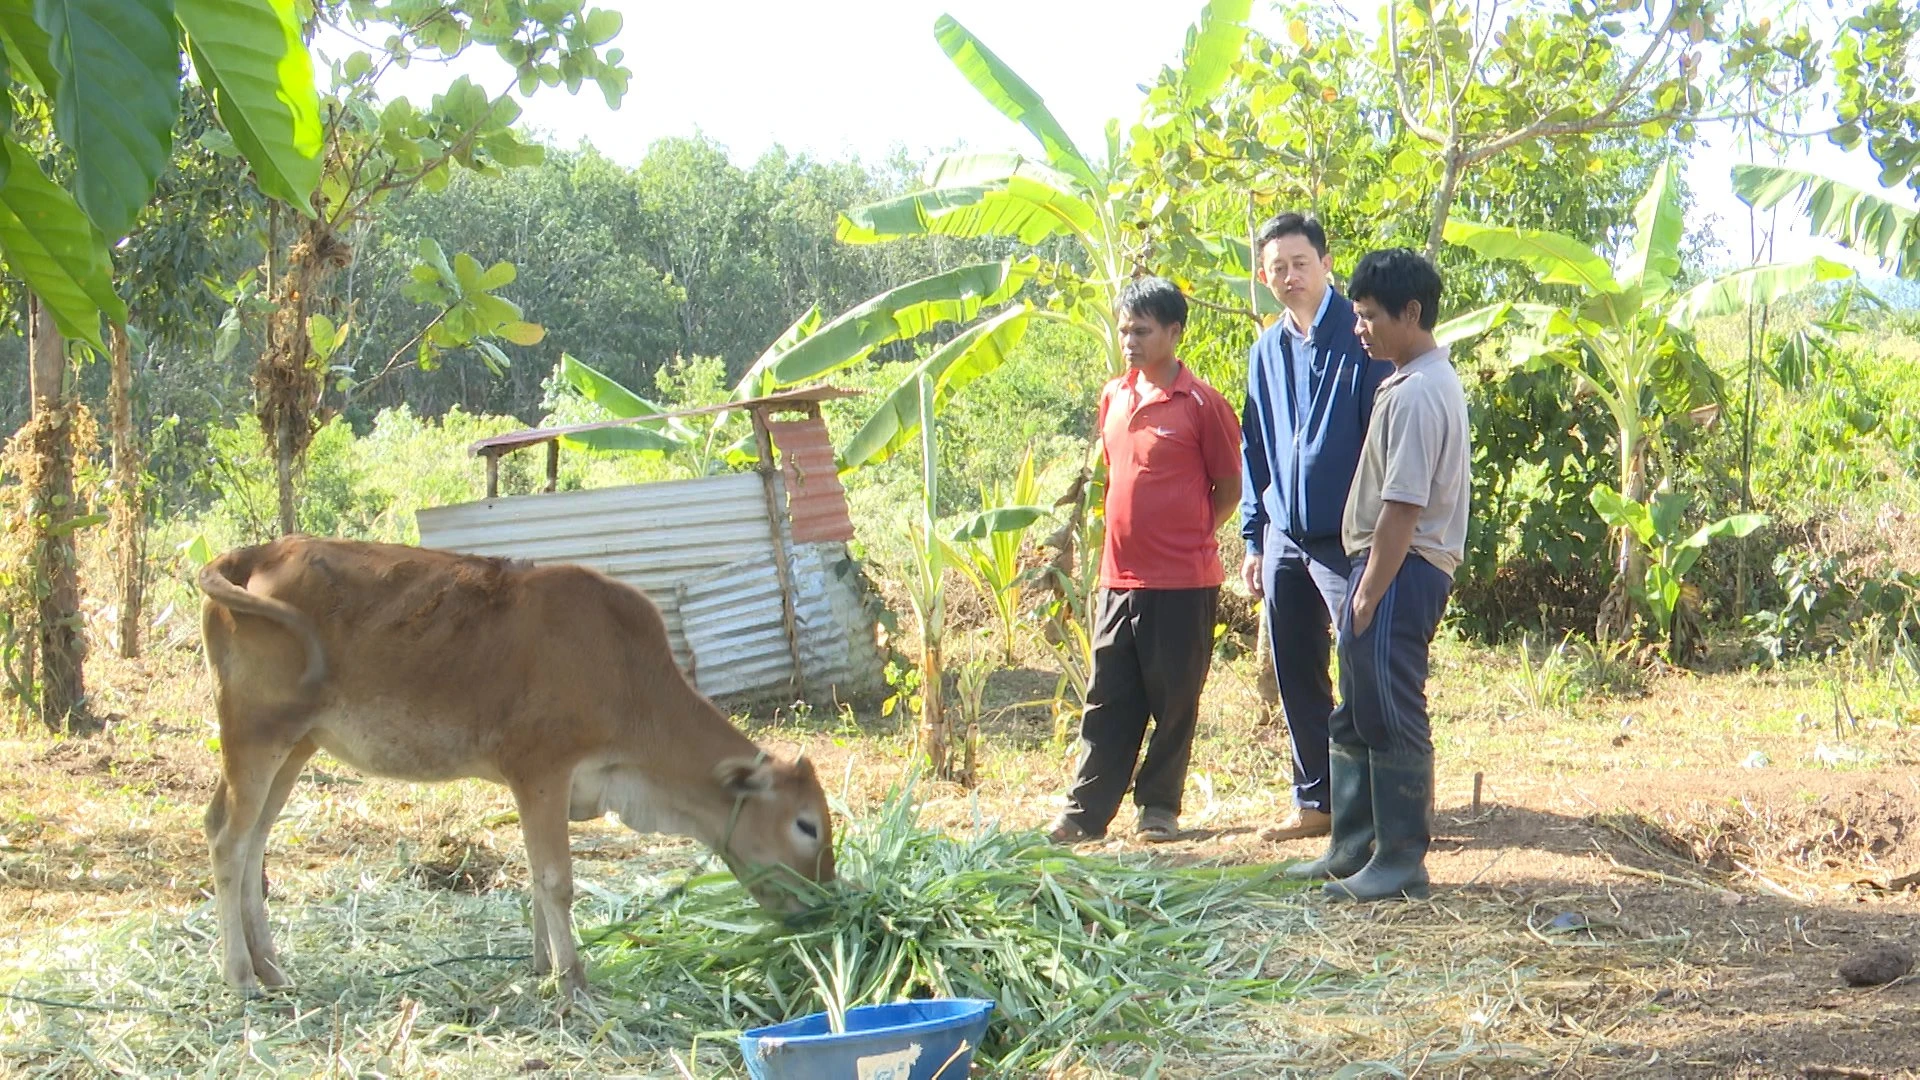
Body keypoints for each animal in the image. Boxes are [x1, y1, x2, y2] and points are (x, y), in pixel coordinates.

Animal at [198, 534, 837, 999]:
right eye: (805, 824)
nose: (828, 904)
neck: (630, 679)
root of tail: (254, 554)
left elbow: (534, 876)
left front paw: (541, 964)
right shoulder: (542, 771)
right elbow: (555, 880)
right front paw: (572, 980)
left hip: (296, 745)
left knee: (253, 841)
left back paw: (272, 968)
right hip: (258, 734)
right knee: (229, 839)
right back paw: (241, 977)